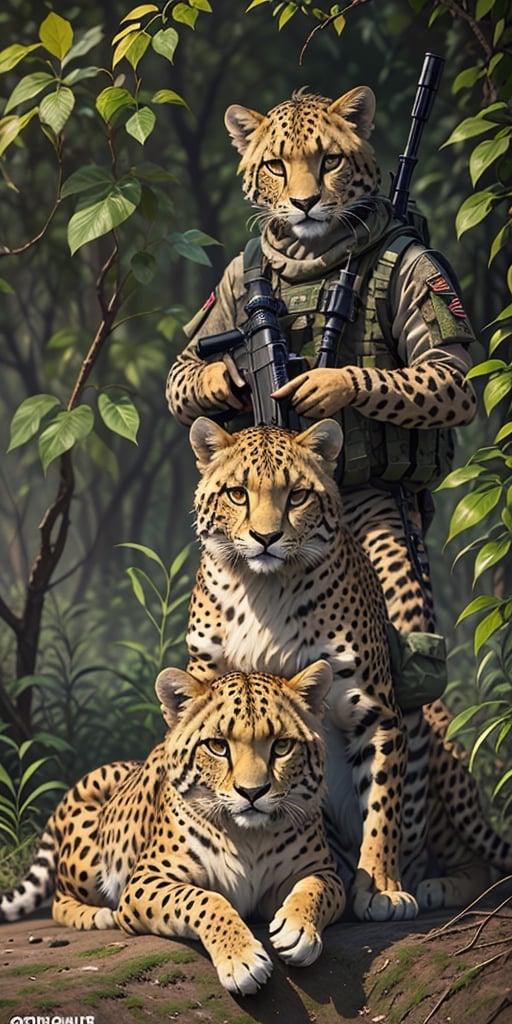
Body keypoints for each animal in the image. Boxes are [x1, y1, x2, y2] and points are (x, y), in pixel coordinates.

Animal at [0, 661, 345, 996]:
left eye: (282, 746)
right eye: (218, 746)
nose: (252, 792)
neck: (249, 837)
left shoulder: (323, 871)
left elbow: (316, 890)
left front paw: (298, 931)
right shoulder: (145, 881)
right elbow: (203, 899)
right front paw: (242, 960)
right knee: (59, 901)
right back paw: (101, 915)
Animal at [184, 415, 512, 919]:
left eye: (296, 496)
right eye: (238, 494)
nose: (265, 539)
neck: (262, 590)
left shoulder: (373, 711)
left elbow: (381, 807)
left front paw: (379, 887)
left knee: (466, 855)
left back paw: (436, 884)